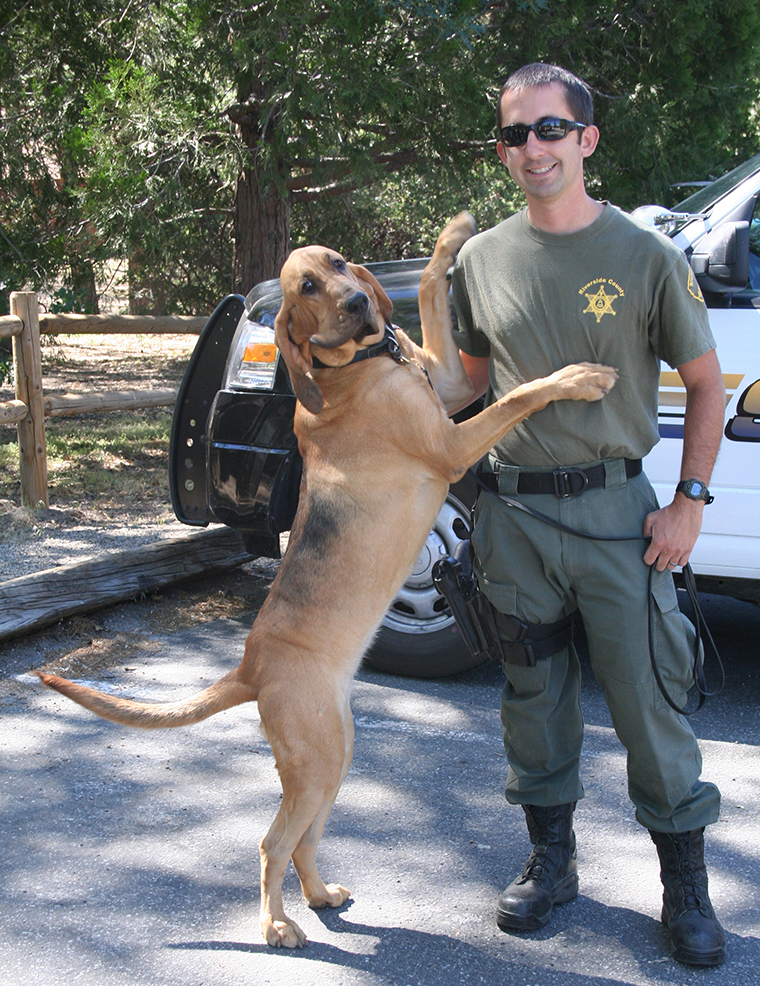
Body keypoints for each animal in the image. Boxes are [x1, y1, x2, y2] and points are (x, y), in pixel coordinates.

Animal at [37, 215, 616, 944]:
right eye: (306, 287)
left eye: (340, 263)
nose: (362, 302)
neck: (361, 365)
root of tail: (251, 667)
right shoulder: (456, 442)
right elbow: (523, 392)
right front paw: (581, 375)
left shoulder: (449, 384)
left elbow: (434, 288)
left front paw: (451, 236)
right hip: (314, 768)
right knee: (272, 843)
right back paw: (277, 926)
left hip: (334, 755)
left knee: (305, 842)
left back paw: (318, 896)